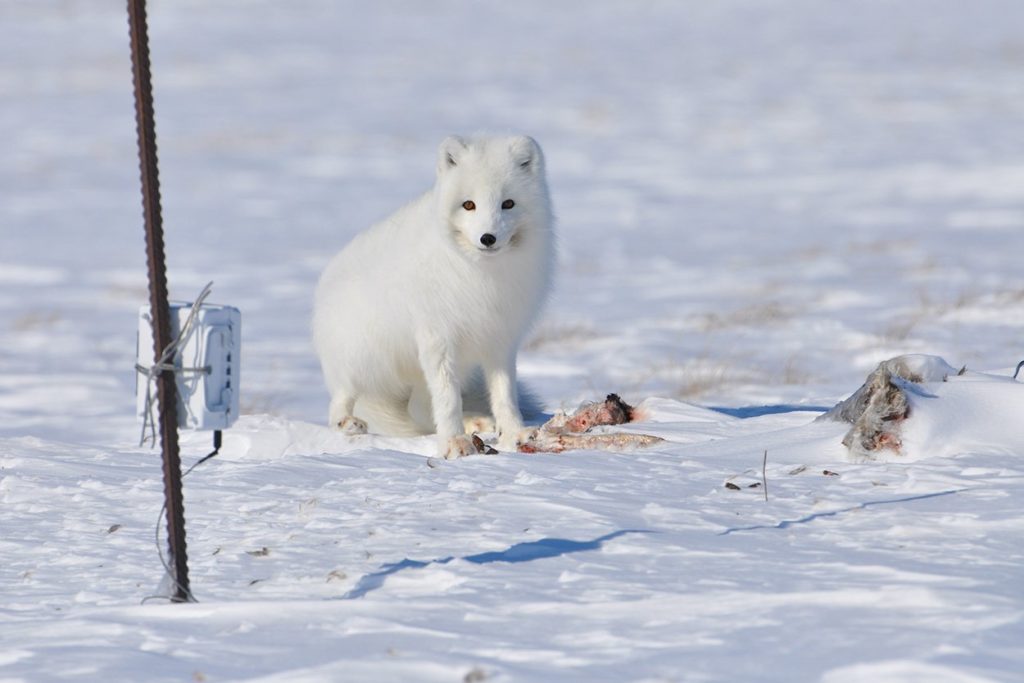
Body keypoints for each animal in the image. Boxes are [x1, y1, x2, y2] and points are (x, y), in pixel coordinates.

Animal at [309, 134, 552, 458]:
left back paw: (476, 422)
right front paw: (453, 442)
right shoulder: (437, 337)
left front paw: (513, 434)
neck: (480, 274)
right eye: (469, 205)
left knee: (419, 409)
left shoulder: (499, 339)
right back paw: (346, 422)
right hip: (360, 357)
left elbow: (504, 395)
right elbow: (447, 400)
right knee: (343, 395)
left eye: (508, 204)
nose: (487, 238)